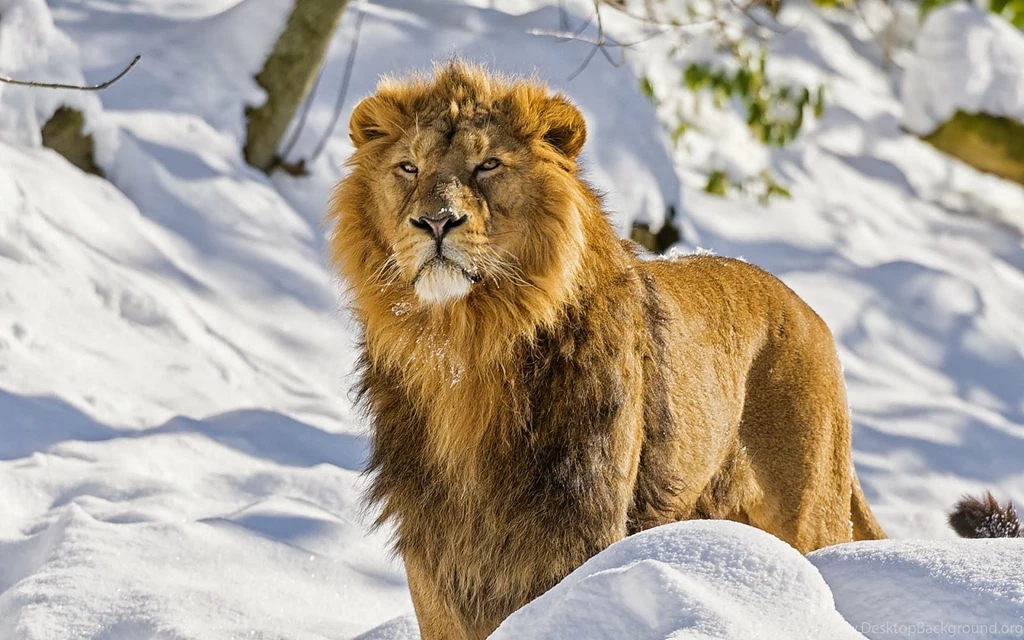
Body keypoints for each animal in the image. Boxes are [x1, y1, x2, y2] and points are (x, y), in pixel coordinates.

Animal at [327, 61, 886, 640]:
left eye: (488, 164)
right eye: (408, 167)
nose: (436, 221)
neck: (465, 350)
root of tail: (808, 312)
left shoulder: (580, 523)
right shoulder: (434, 551)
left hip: (811, 513)